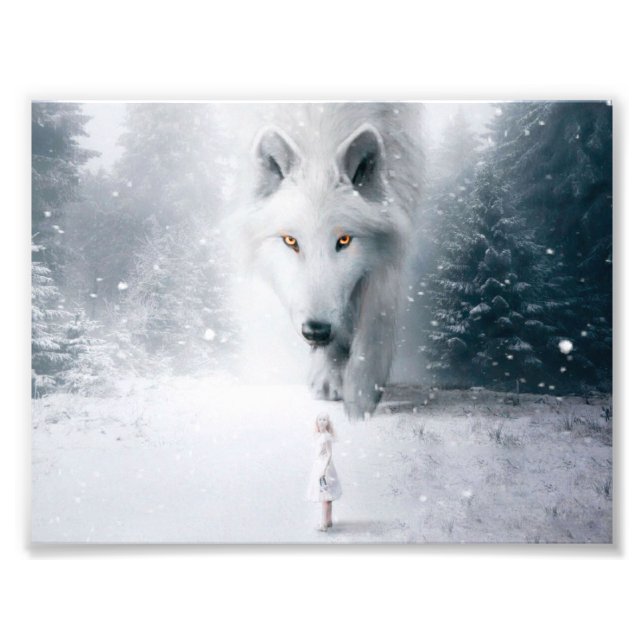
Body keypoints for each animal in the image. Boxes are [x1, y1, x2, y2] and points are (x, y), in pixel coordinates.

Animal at [236, 103, 426, 419]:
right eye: (291, 241)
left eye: (344, 240)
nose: (316, 331)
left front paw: (362, 393)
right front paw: (329, 373)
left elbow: (378, 313)